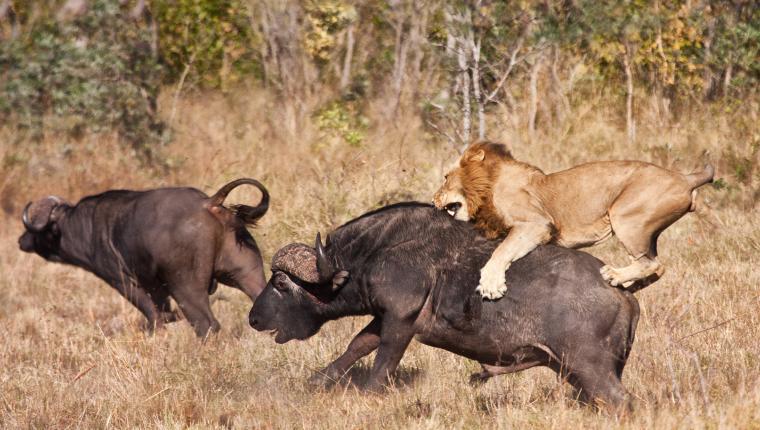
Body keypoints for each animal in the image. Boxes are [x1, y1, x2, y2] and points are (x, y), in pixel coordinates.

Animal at [18, 178, 270, 336]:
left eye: (36, 230)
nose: (21, 241)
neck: (85, 227)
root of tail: (208, 203)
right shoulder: (157, 287)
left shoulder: (123, 282)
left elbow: (153, 315)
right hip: (246, 273)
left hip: (185, 287)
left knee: (206, 325)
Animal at [249, 202, 640, 410]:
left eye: (281, 283)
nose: (253, 318)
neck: (376, 251)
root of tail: (624, 294)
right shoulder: (382, 318)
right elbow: (356, 346)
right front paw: (318, 380)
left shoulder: (399, 321)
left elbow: (382, 364)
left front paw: (370, 394)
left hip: (590, 367)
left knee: (622, 401)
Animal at [434, 141, 712, 298]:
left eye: (446, 177)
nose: (434, 197)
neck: (487, 186)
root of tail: (685, 177)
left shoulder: (536, 224)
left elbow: (501, 251)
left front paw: (491, 285)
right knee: (657, 267)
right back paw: (627, 285)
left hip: (625, 217)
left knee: (651, 263)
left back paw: (614, 275)